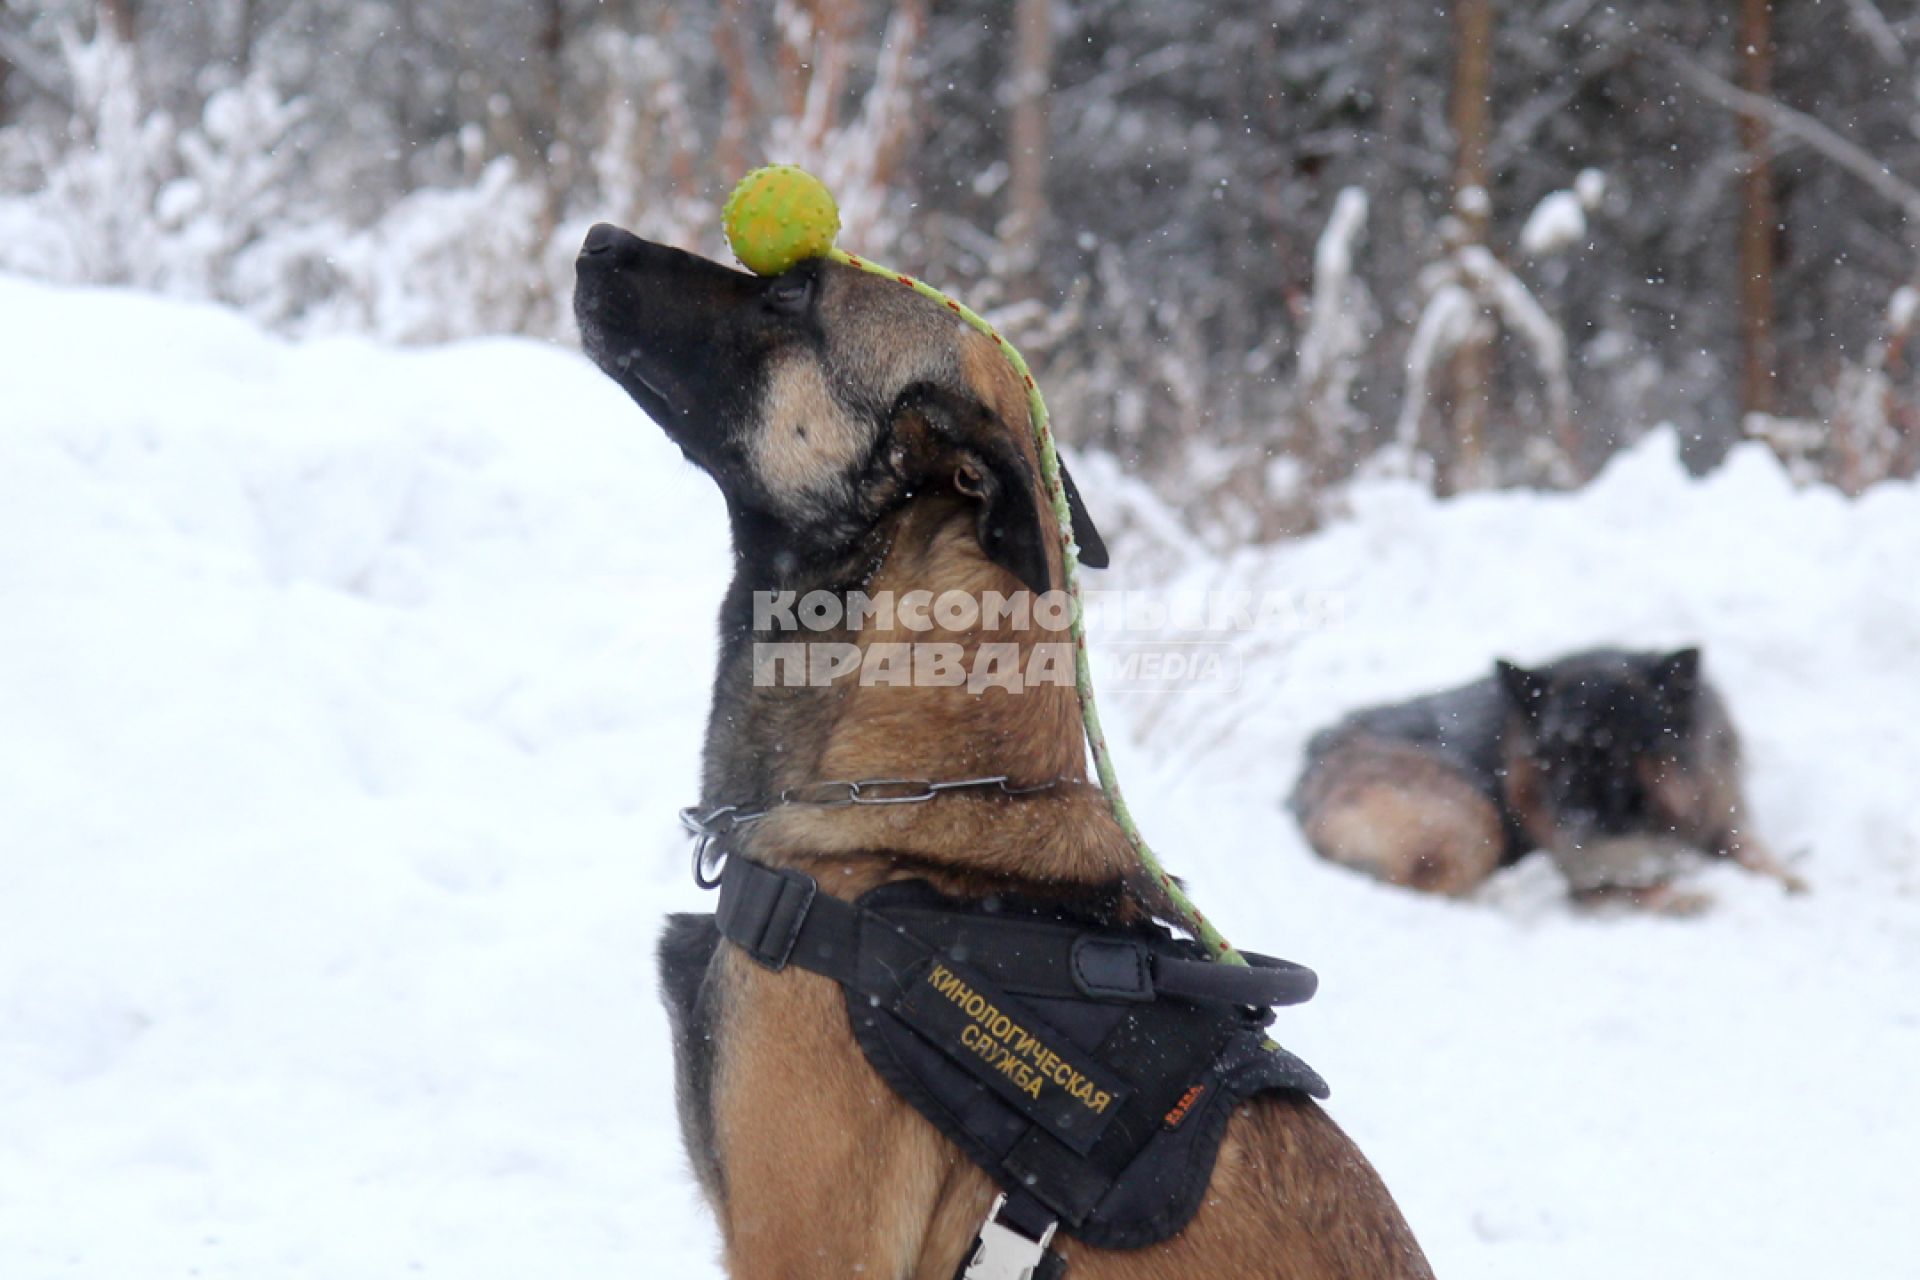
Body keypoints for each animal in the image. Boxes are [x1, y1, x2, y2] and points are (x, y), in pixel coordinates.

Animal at [1297, 652, 1804, 909]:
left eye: (1618, 752)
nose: (1573, 820)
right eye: (1554, 755)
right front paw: (1685, 894)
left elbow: (1751, 849)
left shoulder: (1718, 816)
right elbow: (1625, 887)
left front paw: (1789, 878)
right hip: (1471, 819)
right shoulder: (1582, 871)